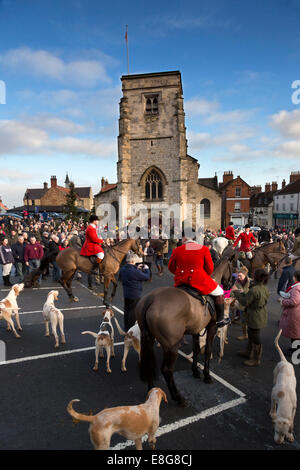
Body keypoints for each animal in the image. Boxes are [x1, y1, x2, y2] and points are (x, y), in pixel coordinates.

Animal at [136, 253, 234, 408]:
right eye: (232, 267)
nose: (229, 284)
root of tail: (150, 299)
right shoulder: (212, 327)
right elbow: (207, 351)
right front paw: (206, 376)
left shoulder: (196, 330)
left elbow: (196, 349)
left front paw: (195, 371)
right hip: (171, 346)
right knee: (167, 370)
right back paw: (179, 398)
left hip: (148, 339)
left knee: (149, 363)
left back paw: (151, 391)